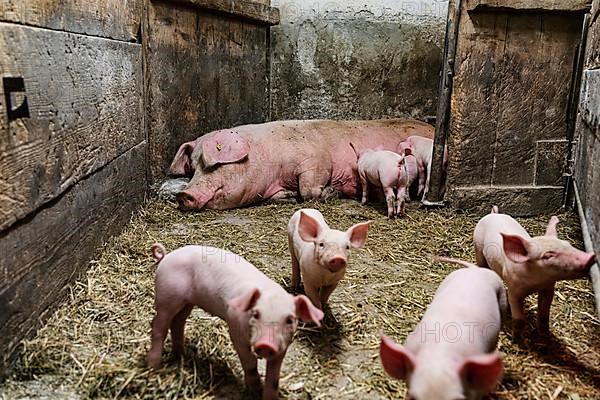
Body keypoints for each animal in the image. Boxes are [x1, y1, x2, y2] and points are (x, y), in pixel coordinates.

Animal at [146, 242, 324, 398]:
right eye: (256, 314)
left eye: (290, 320)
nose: (266, 344)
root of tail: (167, 256)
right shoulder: (234, 326)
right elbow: (249, 362)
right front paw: (254, 389)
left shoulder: (283, 345)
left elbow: (274, 378)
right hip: (166, 295)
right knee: (158, 326)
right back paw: (153, 366)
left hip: (187, 302)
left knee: (178, 322)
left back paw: (182, 354)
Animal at [171, 118, 434, 209]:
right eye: (193, 169)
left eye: (213, 164)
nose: (184, 194)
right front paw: (288, 197)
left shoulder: (316, 160)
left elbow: (309, 189)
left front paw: (332, 192)